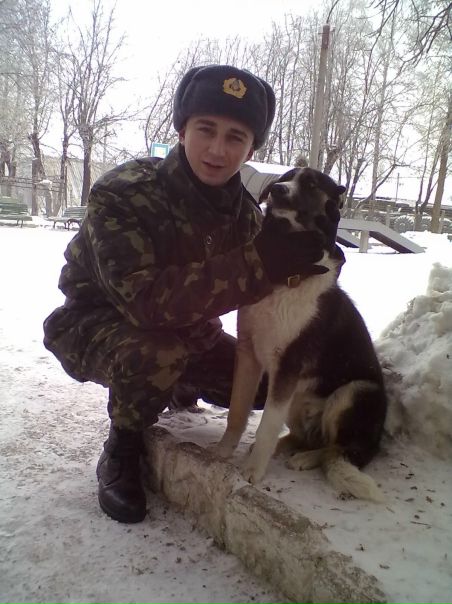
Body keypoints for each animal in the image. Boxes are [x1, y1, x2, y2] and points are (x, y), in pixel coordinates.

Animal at [212, 167, 387, 502]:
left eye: (311, 184)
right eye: (285, 176)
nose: (277, 190)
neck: (289, 277)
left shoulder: (287, 367)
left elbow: (267, 426)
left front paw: (253, 470)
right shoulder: (248, 354)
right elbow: (238, 411)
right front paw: (224, 450)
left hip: (352, 392)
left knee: (336, 449)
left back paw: (306, 458)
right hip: (296, 401)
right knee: (306, 438)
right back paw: (287, 448)